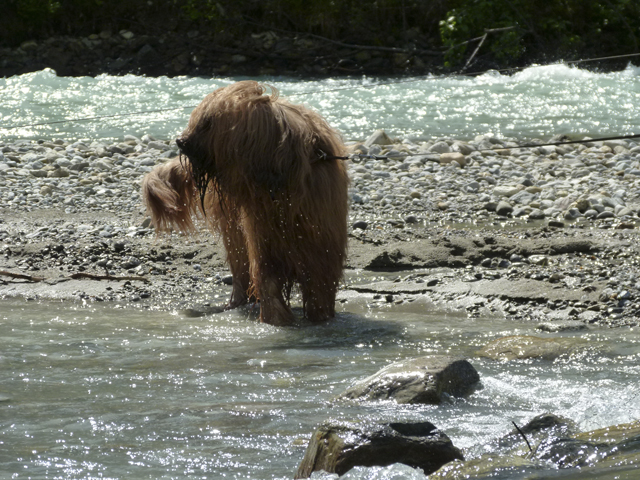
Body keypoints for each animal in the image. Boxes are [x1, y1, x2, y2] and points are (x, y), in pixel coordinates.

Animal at [142, 81, 348, 326]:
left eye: (207, 123)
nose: (181, 142)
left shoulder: (321, 248)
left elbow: (319, 288)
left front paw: (319, 319)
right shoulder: (263, 242)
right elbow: (267, 282)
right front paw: (276, 320)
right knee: (240, 265)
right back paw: (236, 302)